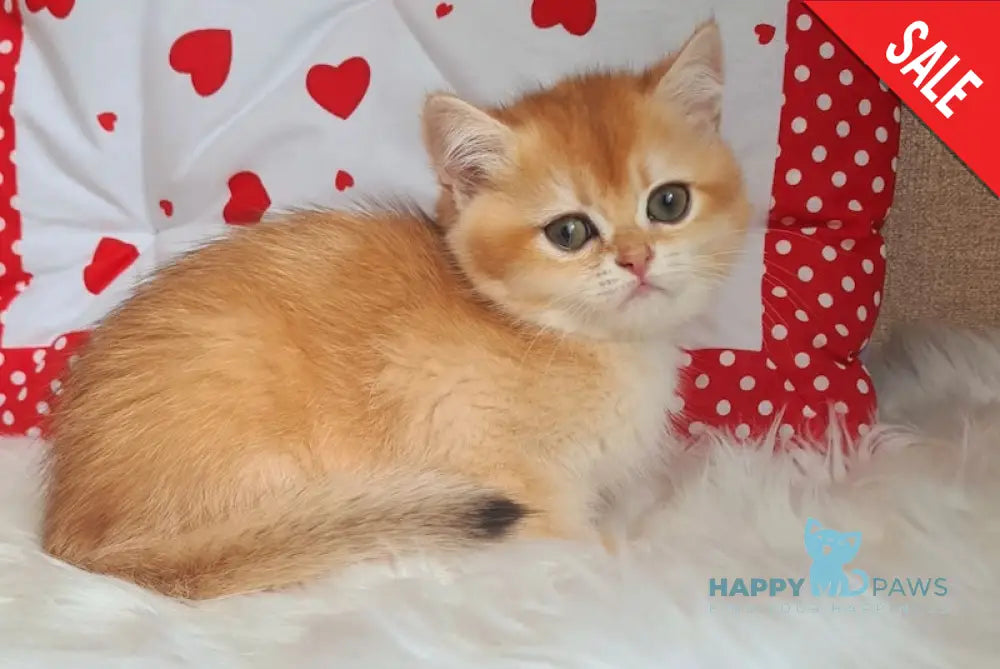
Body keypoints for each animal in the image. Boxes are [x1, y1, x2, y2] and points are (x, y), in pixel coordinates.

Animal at [41, 20, 752, 596]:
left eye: (668, 203)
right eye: (569, 232)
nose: (637, 259)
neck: (578, 343)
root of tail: (72, 537)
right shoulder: (475, 440)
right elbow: (573, 535)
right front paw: (618, 558)